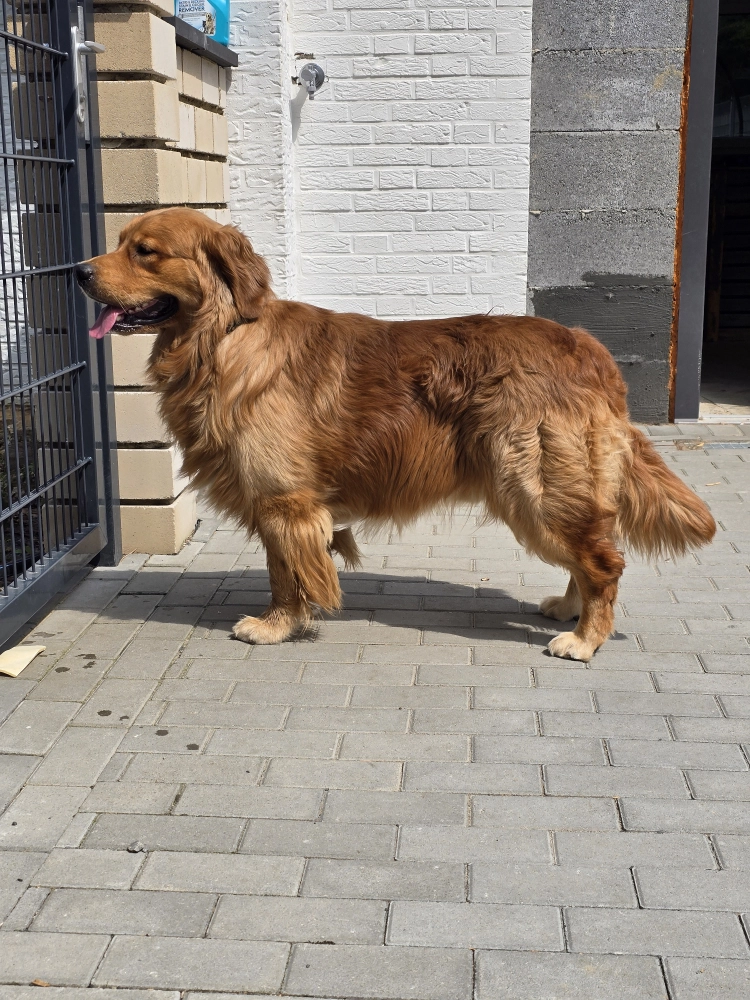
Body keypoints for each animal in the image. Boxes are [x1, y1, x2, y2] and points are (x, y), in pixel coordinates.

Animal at [76, 207, 716, 662]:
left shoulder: (284, 500)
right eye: (121, 241)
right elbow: (286, 569)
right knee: (590, 554)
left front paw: (277, 626)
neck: (224, 337)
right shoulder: (281, 504)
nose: (78, 272)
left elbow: (287, 575)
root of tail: (587, 347)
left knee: (604, 561)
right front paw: (288, 621)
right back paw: (568, 609)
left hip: (531, 484)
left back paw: (586, 638)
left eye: (145, 252)